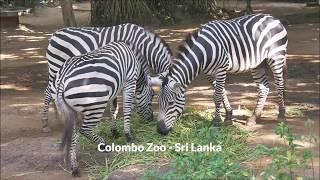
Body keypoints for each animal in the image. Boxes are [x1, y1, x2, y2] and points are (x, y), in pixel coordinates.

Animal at [42, 22, 174, 132]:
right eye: (153, 95)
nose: (150, 119)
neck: (142, 46)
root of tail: (54, 34)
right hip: (55, 66)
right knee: (48, 93)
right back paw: (45, 125)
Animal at [54, 41, 154, 176]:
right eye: (153, 95)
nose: (151, 119)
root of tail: (63, 79)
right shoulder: (130, 81)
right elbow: (127, 108)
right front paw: (128, 135)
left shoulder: (115, 89)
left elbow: (114, 109)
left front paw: (114, 131)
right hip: (96, 105)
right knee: (84, 130)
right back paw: (104, 145)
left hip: (72, 110)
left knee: (73, 134)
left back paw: (74, 166)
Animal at [155, 13, 288, 134]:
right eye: (158, 102)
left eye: (171, 103)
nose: (160, 130)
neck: (204, 50)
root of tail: (273, 18)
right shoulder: (208, 73)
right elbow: (222, 92)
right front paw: (228, 116)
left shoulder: (221, 68)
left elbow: (217, 95)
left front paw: (216, 121)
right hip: (258, 64)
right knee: (264, 88)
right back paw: (254, 117)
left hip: (276, 57)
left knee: (279, 84)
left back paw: (281, 115)